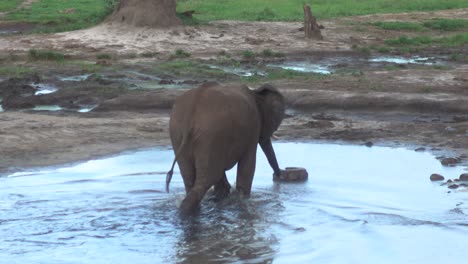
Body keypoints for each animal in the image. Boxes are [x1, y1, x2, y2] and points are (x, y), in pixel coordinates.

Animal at [168, 81, 286, 216]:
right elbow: (248, 165)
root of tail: (192, 111)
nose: (279, 176)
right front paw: (242, 198)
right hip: (210, 134)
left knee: (190, 177)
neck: (256, 93)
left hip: (178, 133)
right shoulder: (253, 128)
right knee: (207, 179)